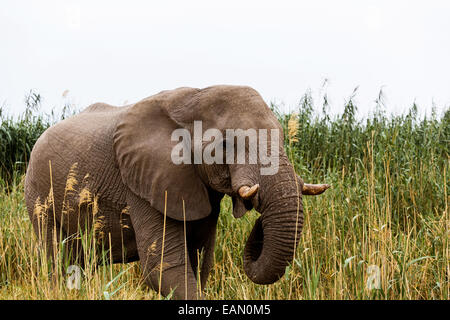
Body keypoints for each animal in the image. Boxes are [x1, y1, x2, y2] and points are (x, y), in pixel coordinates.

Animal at [22, 85, 328, 300]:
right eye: (226, 144)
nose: (257, 202)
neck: (195, 97)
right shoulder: (143, 182)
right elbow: (166, 267)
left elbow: (200, 261)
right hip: (37, 194)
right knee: (56, 259)